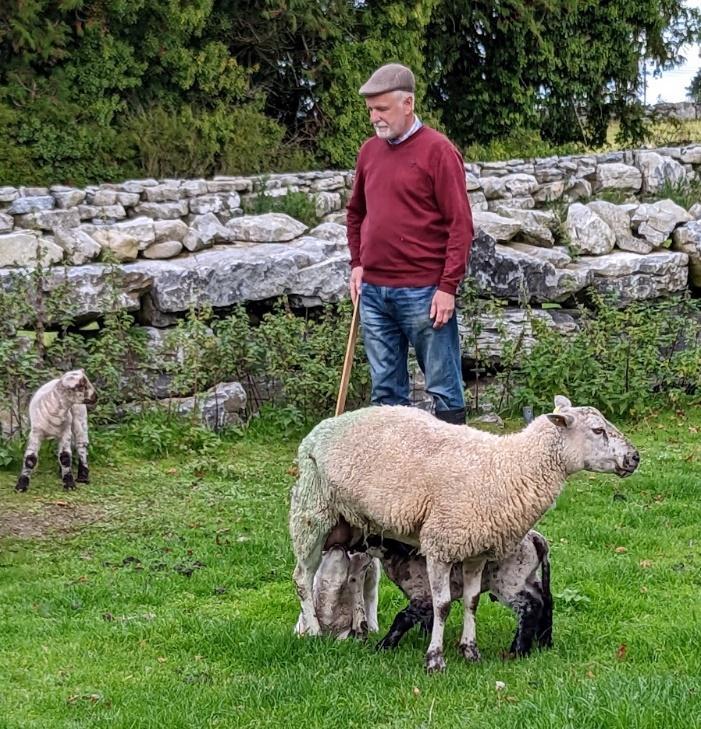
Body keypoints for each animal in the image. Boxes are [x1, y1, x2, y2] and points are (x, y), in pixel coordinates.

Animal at [372, 530, 552, 657]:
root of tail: (536, 538)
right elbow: (430, 618)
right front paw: (424, 638)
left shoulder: (424, 595)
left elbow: (402, 618)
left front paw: (383, 646)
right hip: (528, 576)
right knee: (545, 600)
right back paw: (544, 642)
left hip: (508, 580)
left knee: (531, 606)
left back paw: (518, 651)